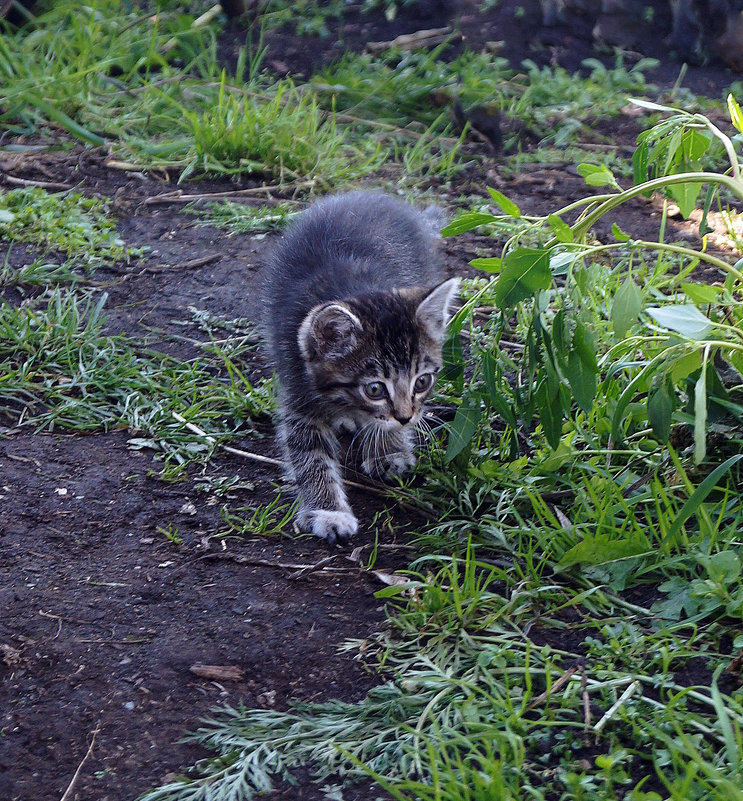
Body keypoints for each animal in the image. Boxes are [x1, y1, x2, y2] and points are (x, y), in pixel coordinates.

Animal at [264, 192, 456, 544]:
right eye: (375, 389)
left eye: (421, 382)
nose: (406, 417)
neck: (354, 286)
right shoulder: (298, 387)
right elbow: (309, 453)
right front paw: (327, 511)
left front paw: (389, 450)